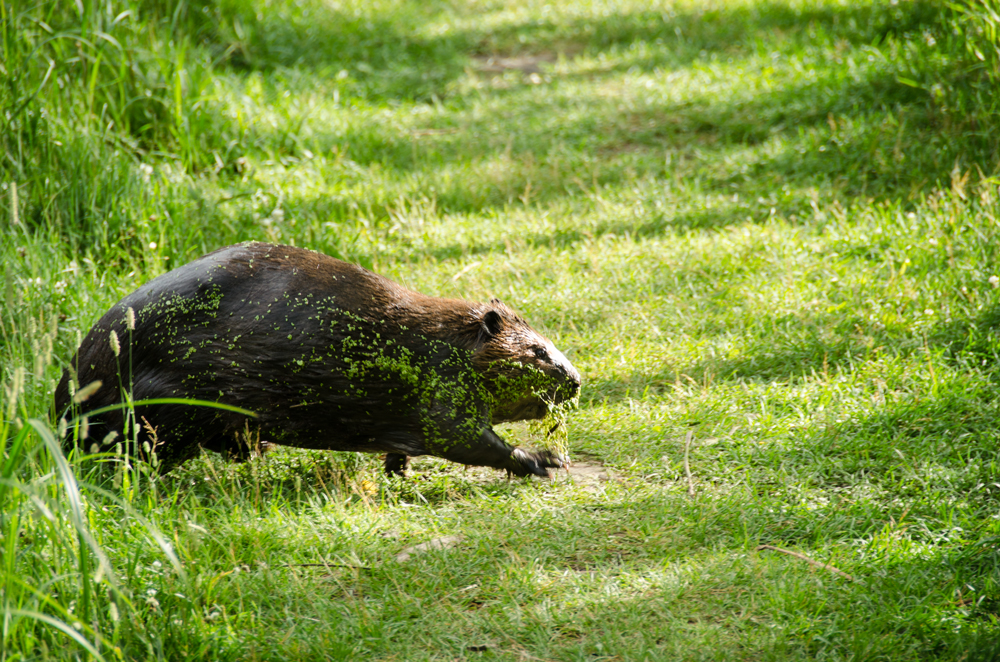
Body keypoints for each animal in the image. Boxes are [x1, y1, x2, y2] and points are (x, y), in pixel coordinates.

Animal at [55, 242, 581, 478]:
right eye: (538, 351)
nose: (576, 380)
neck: (439, 338)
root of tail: (62, 411)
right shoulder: (440, 383)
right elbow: (465, 437)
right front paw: (545, 459)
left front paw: (397, 465)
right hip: (167, 406)